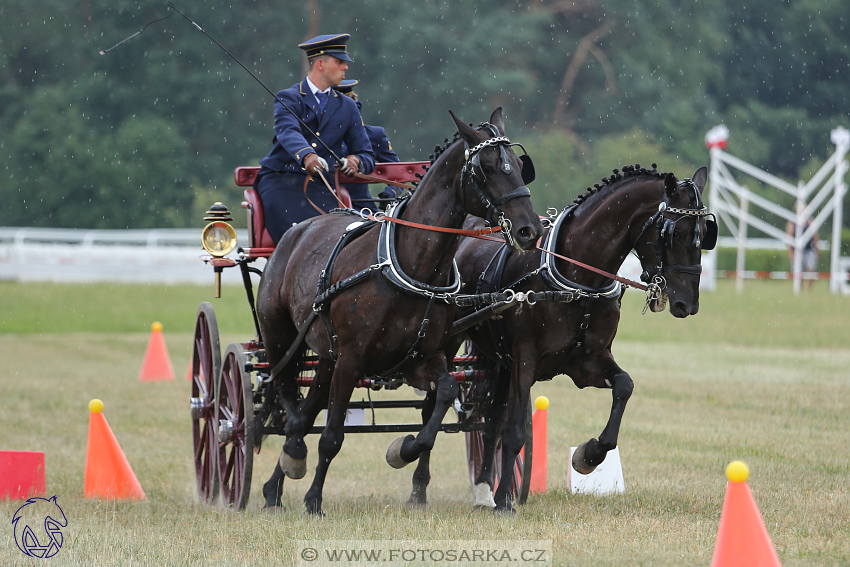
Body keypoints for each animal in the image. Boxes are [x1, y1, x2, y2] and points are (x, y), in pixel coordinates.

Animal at [255, 106, 540, 516]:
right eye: (485, 168)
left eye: (518, 165)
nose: (529, 230)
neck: (411, 264)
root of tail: (297, 231)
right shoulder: (353, 359)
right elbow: (332, 435)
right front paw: (313, 500)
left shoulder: (423, 357)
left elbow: (443, 397)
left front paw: (403, 451)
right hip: (281, 338)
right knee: (286, 394)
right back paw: (290, 458)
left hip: (326, 355)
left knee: (307, 409)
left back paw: (275, 484)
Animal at [408, 163, 712, 510]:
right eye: (675, 233)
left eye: (706, 232)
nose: (687, 303)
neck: (579, 281)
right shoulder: (525, 360)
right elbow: (516, 430)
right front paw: (505, 501)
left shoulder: (587, 361)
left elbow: (624, 386)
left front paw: (588, 455)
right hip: (446, 345)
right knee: (435, 403)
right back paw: (419, 485)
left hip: (498, 359)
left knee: (491, 422)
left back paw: (484, 490)